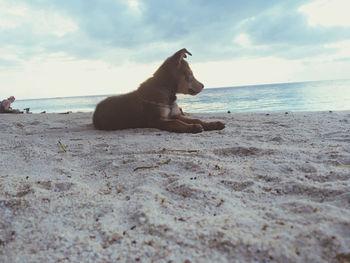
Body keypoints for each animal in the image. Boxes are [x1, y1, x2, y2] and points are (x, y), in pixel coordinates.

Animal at [91, 48, 226, 133]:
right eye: (190, 74)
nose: (203, 85)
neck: (168, 93)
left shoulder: (176, 114)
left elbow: (196, 119)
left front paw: (213, 124)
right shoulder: (157, 120)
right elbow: (177, 123)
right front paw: (192, 127)